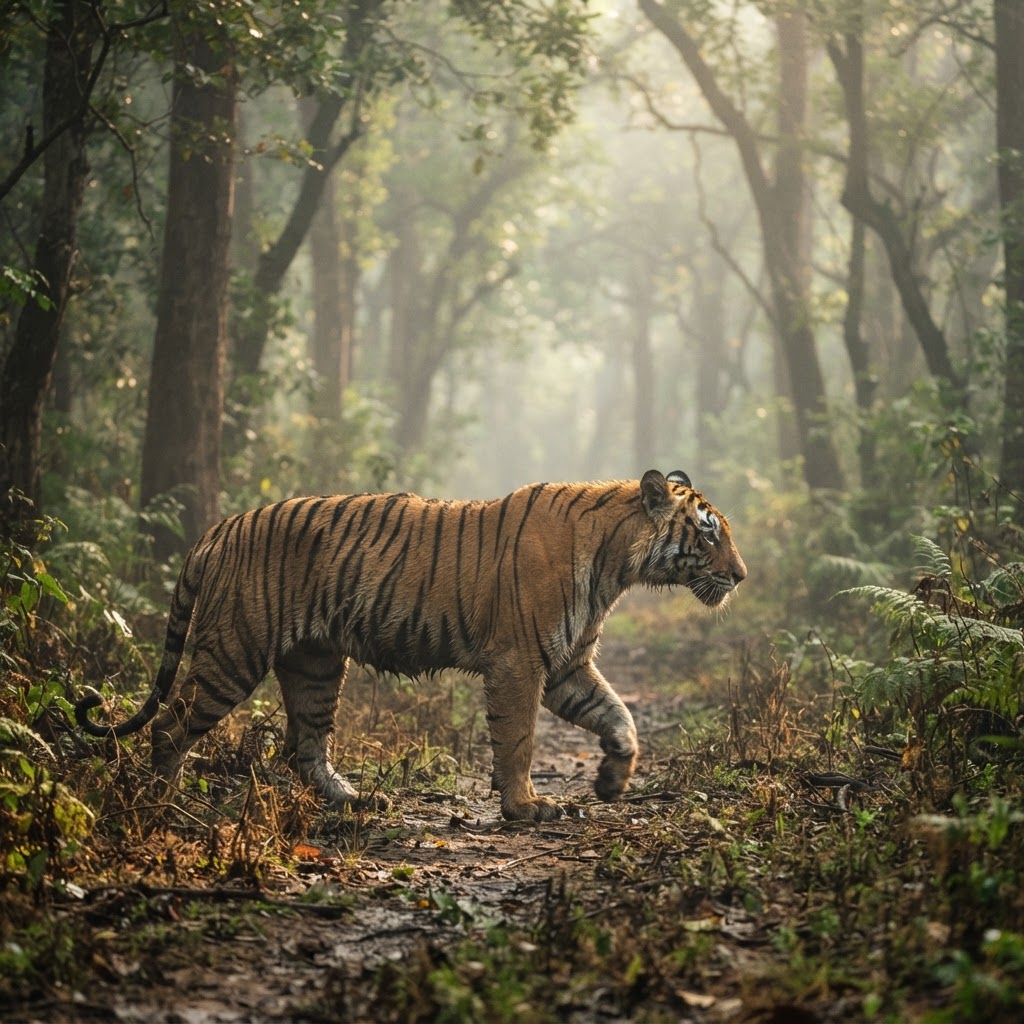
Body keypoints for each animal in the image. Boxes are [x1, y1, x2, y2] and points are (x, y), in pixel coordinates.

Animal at [76, 469, 746, 821]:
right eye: (709, 533)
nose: (741, 576)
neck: (617, 567)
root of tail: (221, 527)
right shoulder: (521, 662)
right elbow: (518, 739)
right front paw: (525, 806)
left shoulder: (567, 667)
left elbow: (620, 716)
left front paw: (611, 780)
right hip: (233, 652)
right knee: (171, 726)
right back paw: (161, 806)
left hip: (316, 662)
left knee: (303, 744)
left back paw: (352, 800)